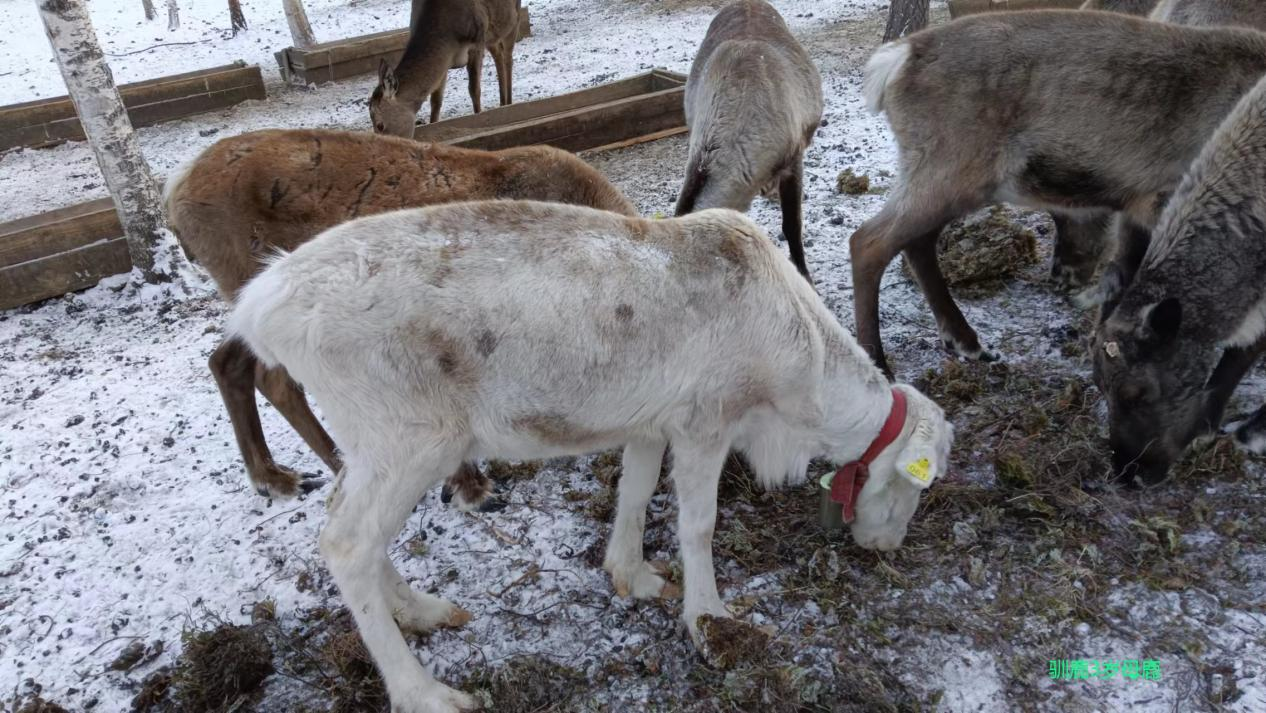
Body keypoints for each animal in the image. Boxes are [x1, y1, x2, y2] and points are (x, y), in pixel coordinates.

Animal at [163, 128, 638, 507]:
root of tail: (176, 192)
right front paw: (469, 487)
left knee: (227, 362)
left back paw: (273, 477)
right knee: (273, 378)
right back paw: (332, 467)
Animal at [227, 199, 952, 713]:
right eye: (916, 486)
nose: (886, 546)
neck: (792, 389)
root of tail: (258, 308)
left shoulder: (651, 420)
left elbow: (635, 490)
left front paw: (631, 574)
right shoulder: (705, 420)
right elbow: (698, 524)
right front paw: (709, 619)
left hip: (369, 442)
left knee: (341, 518)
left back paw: (425, 610)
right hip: (412, 436)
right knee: (347, 542)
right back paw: (427, 693)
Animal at [370, 0, 521, 138]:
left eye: (380, 125)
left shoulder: (477, 41)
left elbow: (474, 90)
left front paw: (479, 116)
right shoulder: (445, 62)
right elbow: (436, 101)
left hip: (513, 19)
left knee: (508, 57)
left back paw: (509, 102)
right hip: (491, 35)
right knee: (498, 54)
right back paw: (503, 103)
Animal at [853, 10, 1266, 376]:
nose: (1060, 276)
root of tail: (896, 60)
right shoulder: (1163, 200)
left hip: (947, 179)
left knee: (916, 242)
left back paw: (967, 342)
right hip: (951, 168)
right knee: (868, 241)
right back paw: (880, 366)